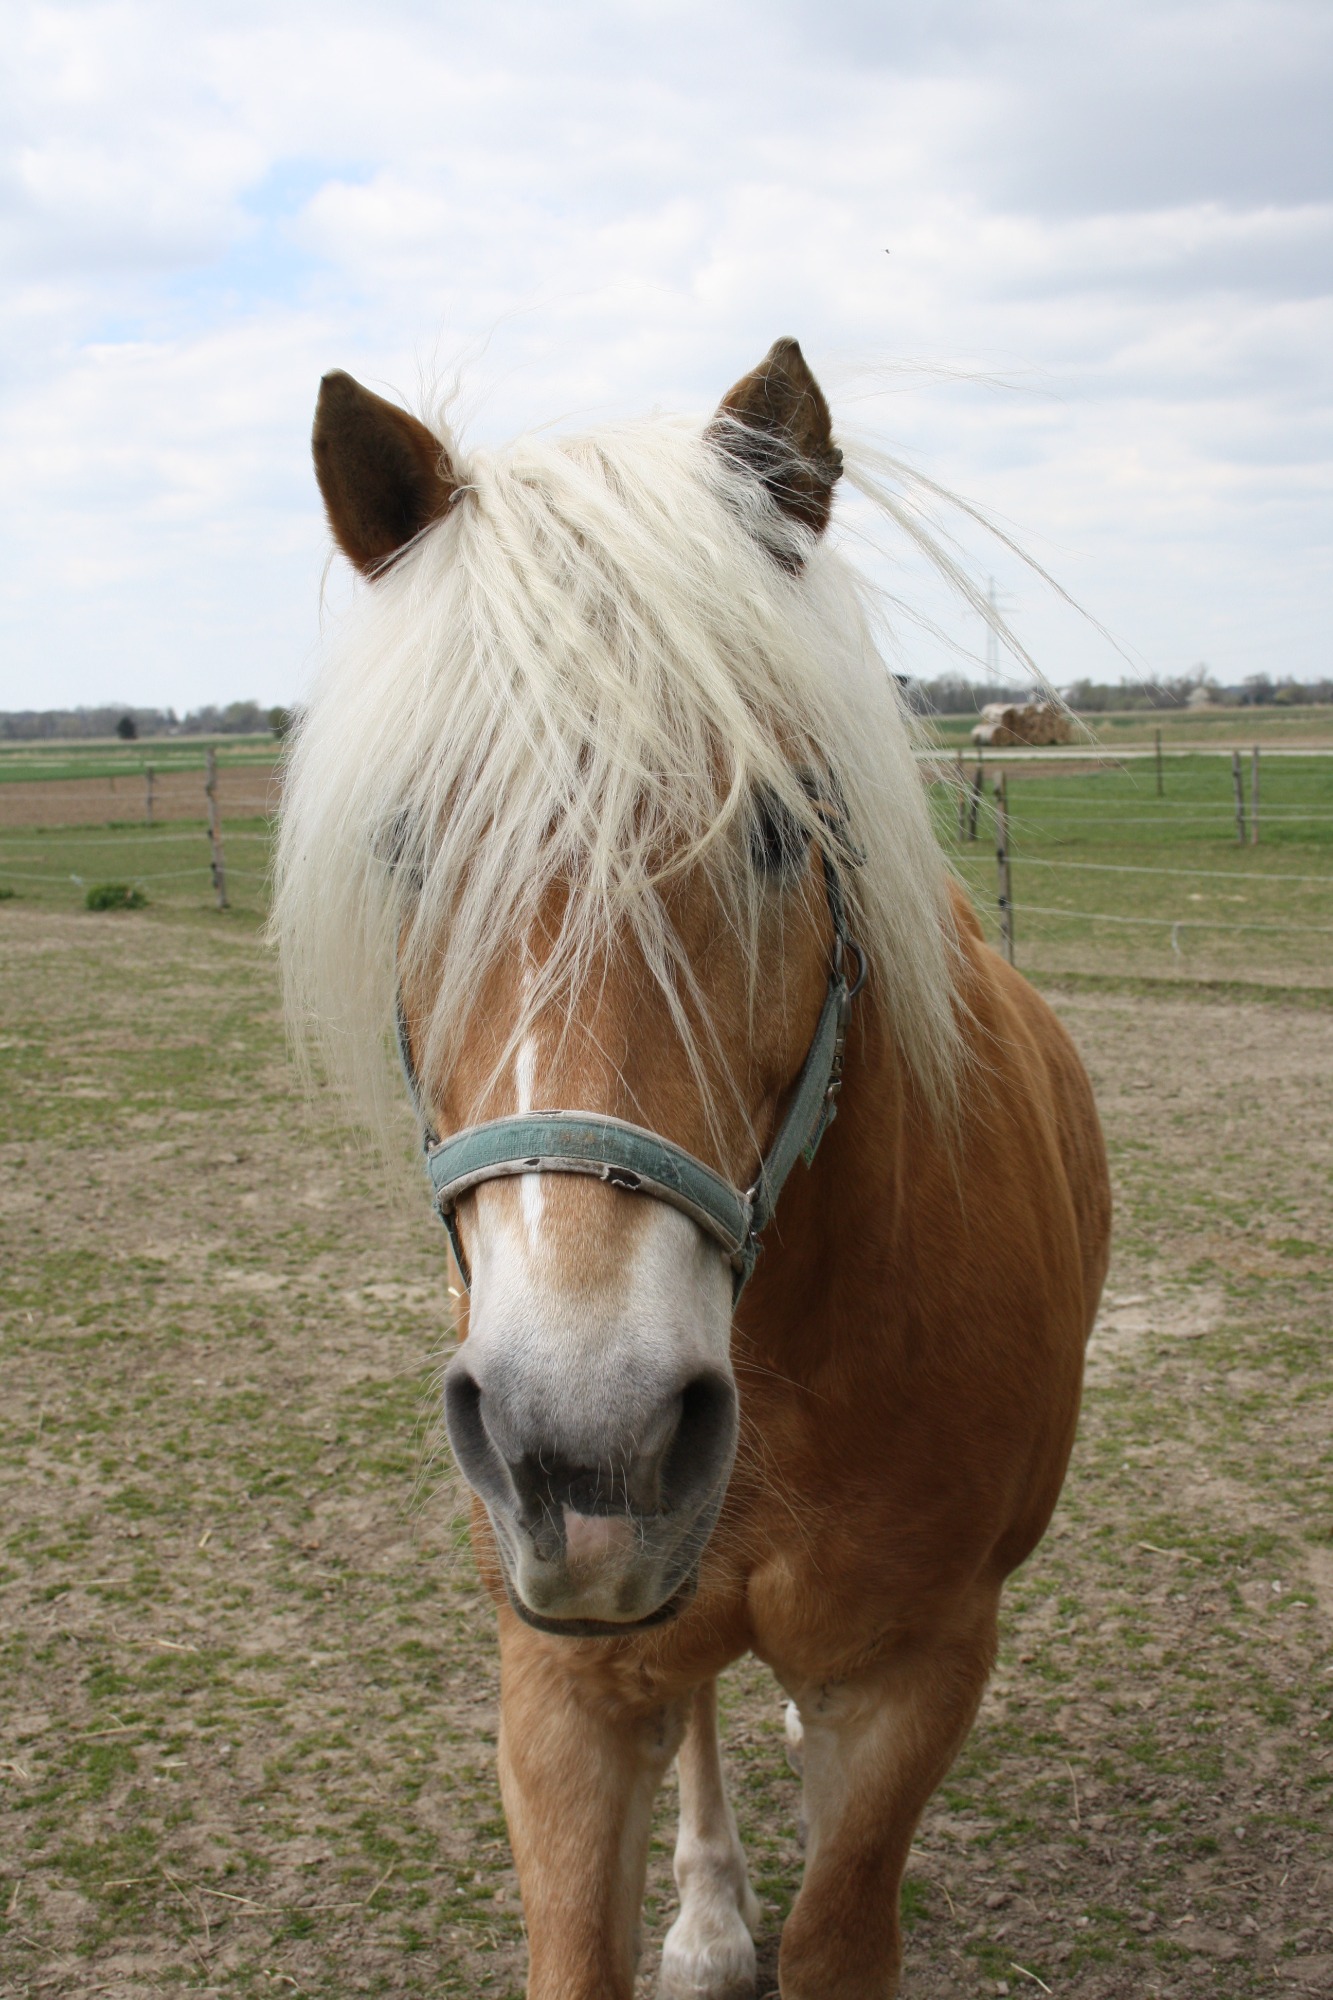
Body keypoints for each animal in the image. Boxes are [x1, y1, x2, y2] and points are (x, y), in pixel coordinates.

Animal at [274, 337, 1111, 1999]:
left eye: (782, 830)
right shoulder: (562, 1688)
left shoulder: (911, 1677)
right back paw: (713, 1916)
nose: (582, 1442)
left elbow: (842, 1927)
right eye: (407, 852)